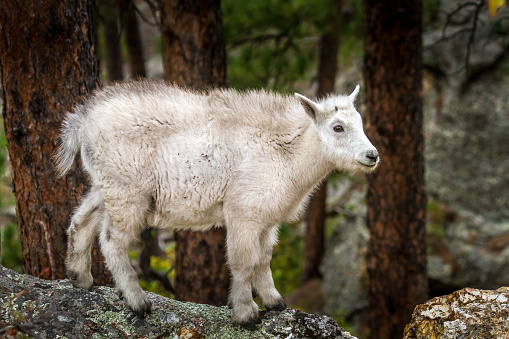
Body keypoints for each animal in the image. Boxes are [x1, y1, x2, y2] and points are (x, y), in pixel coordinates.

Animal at [55, 79, 378, 330]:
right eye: (338, 127)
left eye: (361, 123)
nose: (372, 155)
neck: (288, 151)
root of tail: (82, 121)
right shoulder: (243, 213)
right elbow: (244, 262)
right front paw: (246, 314)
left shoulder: (266, 219)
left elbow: (264, 258)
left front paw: (275, 302)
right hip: (127, 192)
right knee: (112, 240)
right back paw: (137, 301)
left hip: (106, 186)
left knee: (81, 221)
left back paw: (80, 278)